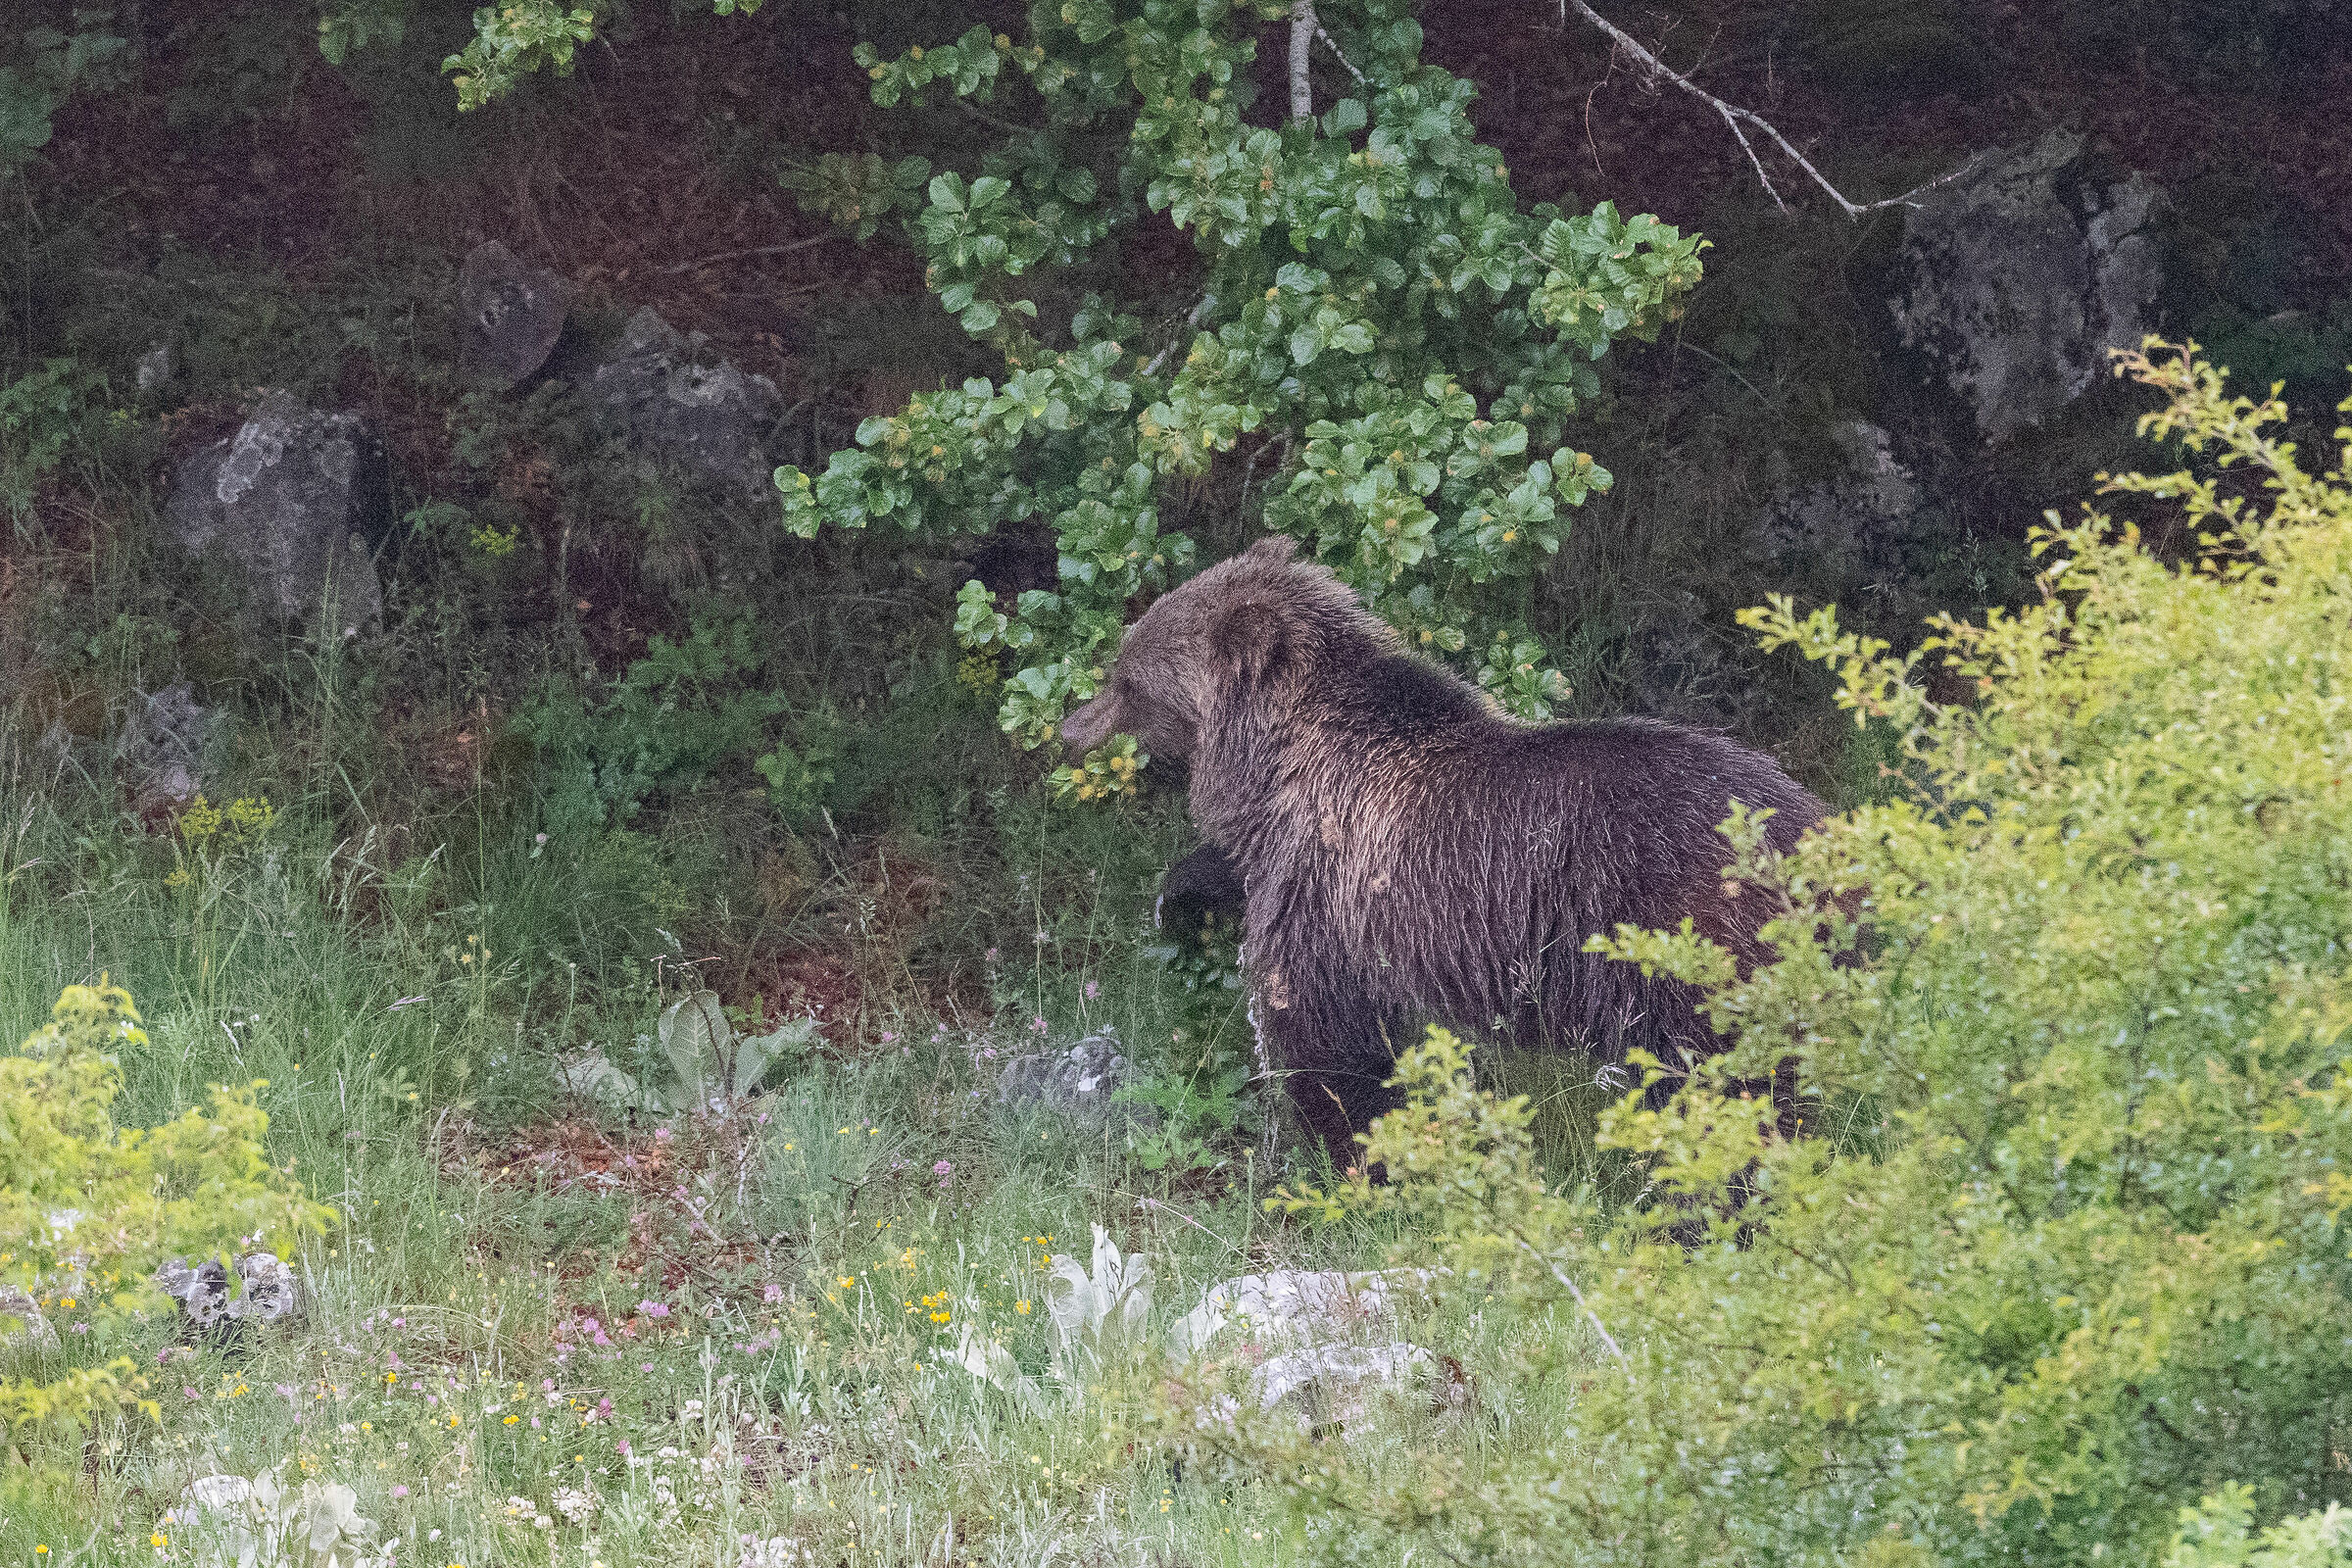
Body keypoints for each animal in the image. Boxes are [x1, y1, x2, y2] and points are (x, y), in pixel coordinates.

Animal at [1062, 536, 1826, 1165]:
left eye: (1124, 677)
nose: (1070, 726)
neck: (1274, 761)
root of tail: (1813, 828)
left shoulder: (1332, 881)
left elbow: (1318, 1029)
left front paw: (1358, 1151)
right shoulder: (1288, 847)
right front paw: (1180, 897)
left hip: (1685, 949)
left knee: (1720, 1091)